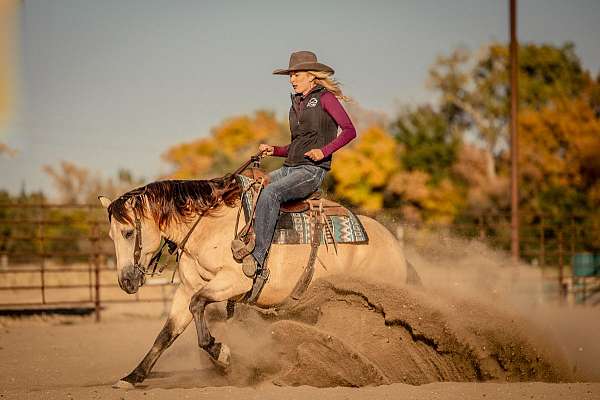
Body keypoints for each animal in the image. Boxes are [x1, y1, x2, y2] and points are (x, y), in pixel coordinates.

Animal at [99, 165, 412, 388]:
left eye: (128, 232)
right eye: (111, 235)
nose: (126, 282)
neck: (210, 228)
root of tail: (394, 246)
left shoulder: (233, 282)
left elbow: (198, 304)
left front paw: (222, 354)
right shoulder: (187, 288)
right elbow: (166, 333)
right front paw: (132, 377)